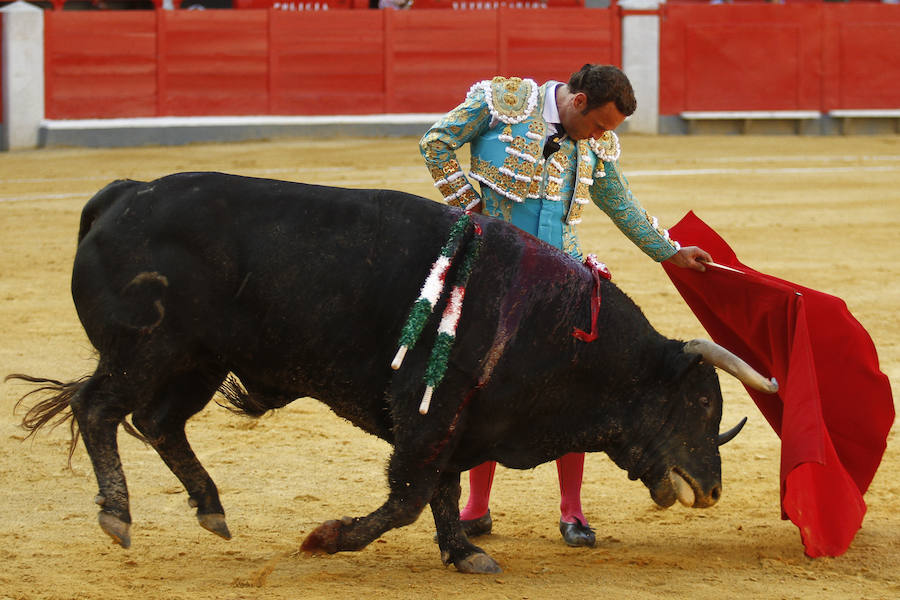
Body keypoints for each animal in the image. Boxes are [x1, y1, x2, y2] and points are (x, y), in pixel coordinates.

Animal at [8, 171, 780, 576]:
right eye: (698, 407)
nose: (713, 488)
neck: (553, 321)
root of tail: (122, 195)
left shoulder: (458, 420)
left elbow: (440, 489)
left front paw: (464, 552)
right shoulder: (429, 411)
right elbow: (409, 495)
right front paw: (328, 537)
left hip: (196, 364)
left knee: (159, 423)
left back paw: (210, 508)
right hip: (146, 353)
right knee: (100, 410)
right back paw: (117, 515)